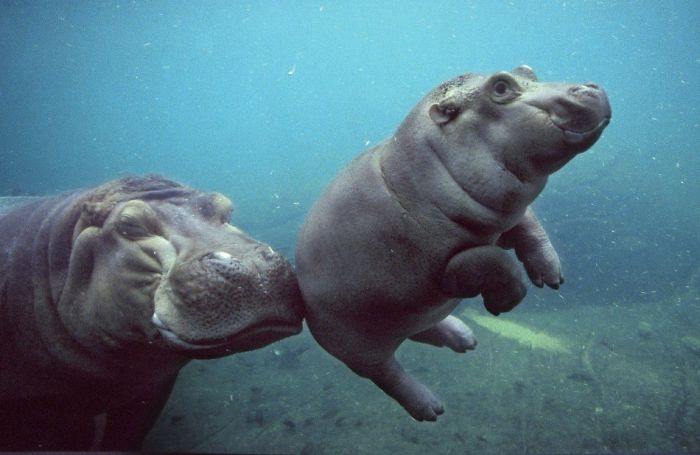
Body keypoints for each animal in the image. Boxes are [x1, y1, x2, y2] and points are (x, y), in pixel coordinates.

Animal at [296, 66, 611, 421]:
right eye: (500, 87)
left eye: (527, 71)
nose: (590, 87)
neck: (418, 164)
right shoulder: (444, 270)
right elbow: (494, 261)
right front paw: (503, 304)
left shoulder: (506, 212)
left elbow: (530, 226)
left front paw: (552, 276)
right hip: (359, 349)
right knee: (388, 375)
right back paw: (431, 408)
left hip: (406, 316)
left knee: (422, 329)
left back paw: (464, 338)